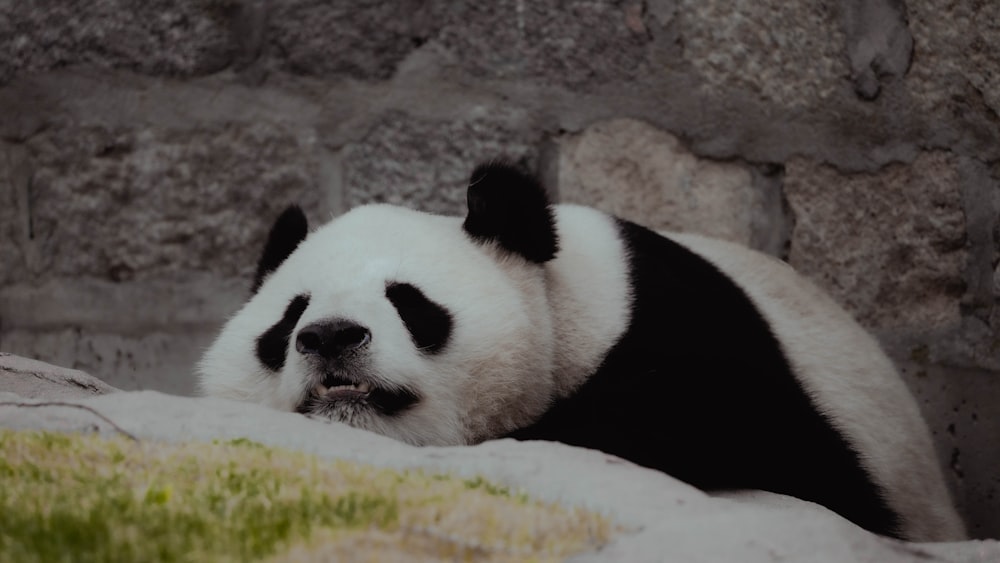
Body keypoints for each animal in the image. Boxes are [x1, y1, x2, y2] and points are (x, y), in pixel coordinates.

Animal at [197, 160, 968, 540]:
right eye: (290, 318)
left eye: (409, 302)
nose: (329, 337)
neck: (569, 306)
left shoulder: (694, 327)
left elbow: (728, 420)